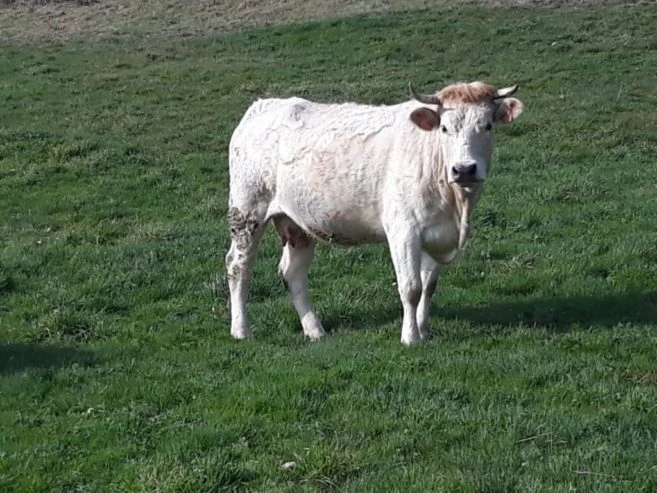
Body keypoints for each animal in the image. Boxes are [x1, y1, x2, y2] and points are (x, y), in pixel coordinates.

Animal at [225, 81, 523, 345]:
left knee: (292, 273)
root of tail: (264, 105)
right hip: (247, 210)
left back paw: (315, 330)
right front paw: (410, 337)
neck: (456, 206)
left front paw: (424, 330)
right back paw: (241, 330)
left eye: (487, 126)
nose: (464, 169)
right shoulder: (403, 230)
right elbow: (411, 288)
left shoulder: (437, 233)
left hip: (297, 224)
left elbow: (428, 287)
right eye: (445, 128)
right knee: (238, 266)